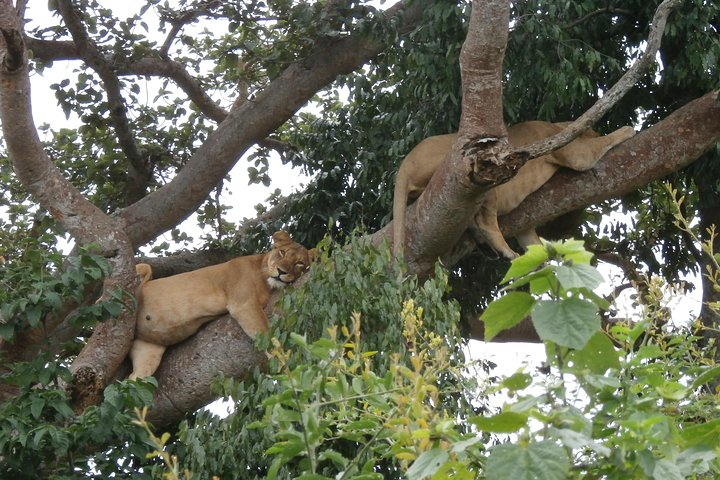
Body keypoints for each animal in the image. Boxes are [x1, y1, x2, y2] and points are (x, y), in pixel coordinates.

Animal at [130, 231, 316, 380]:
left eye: (299, 263)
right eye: (282, 252)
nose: (281, 272)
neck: (266, 281)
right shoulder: (243, 303)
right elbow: (267, 334)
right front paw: (284, 363)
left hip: (148, 352)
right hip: (144, 269)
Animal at [390, 122, 632, 260]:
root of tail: (405, 165)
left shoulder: (525, 230)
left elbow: (534, 244)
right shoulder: (575, 154)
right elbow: (603, 142)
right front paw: (628, 130)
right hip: (480, 175)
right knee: (486, 222)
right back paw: (505, 251)